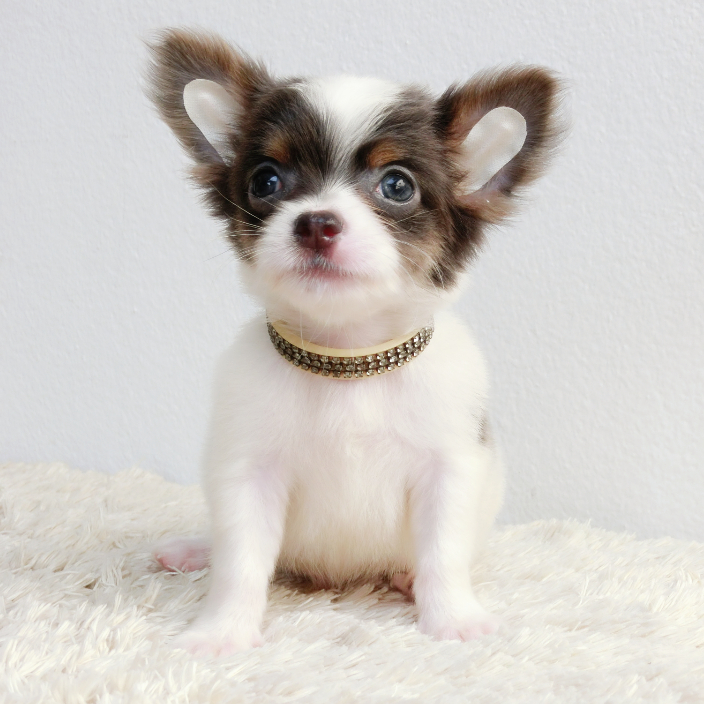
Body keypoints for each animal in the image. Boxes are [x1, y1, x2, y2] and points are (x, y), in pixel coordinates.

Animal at [147, 28, 562, 657]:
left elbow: (444, 554)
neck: (350, 360)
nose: (316, 222)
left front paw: (453, 618)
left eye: (397, 185)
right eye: (266, 180)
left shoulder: (449, 470)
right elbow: (241, 562)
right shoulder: (248, 472)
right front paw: (222, 631)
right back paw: (196, 549)